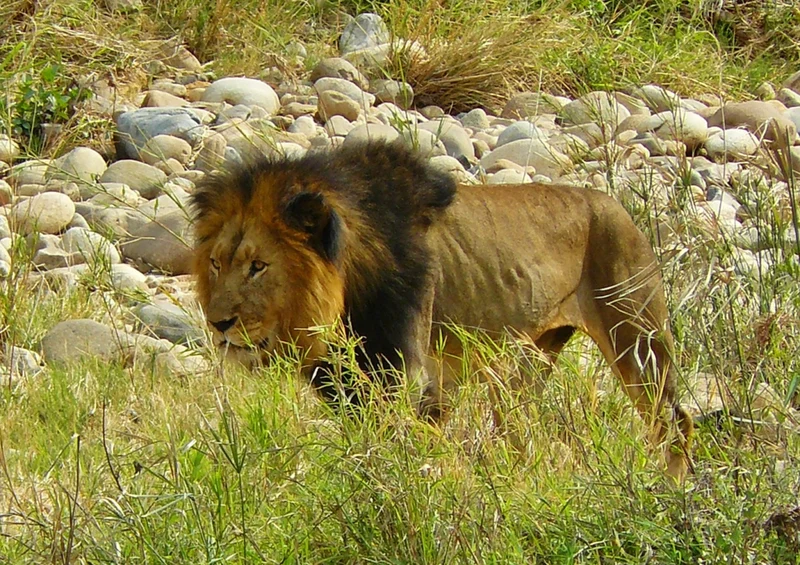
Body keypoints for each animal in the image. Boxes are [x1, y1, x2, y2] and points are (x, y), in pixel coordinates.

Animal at [191, 141, 693, 481]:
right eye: (217, 263)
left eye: (258, 266)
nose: (218, 323)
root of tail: (616, 205)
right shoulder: (350, 387)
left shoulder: (409, 380)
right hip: (529, 360)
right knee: (518, 429)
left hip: (638, 341)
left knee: (675, 421)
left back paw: (669, 493)